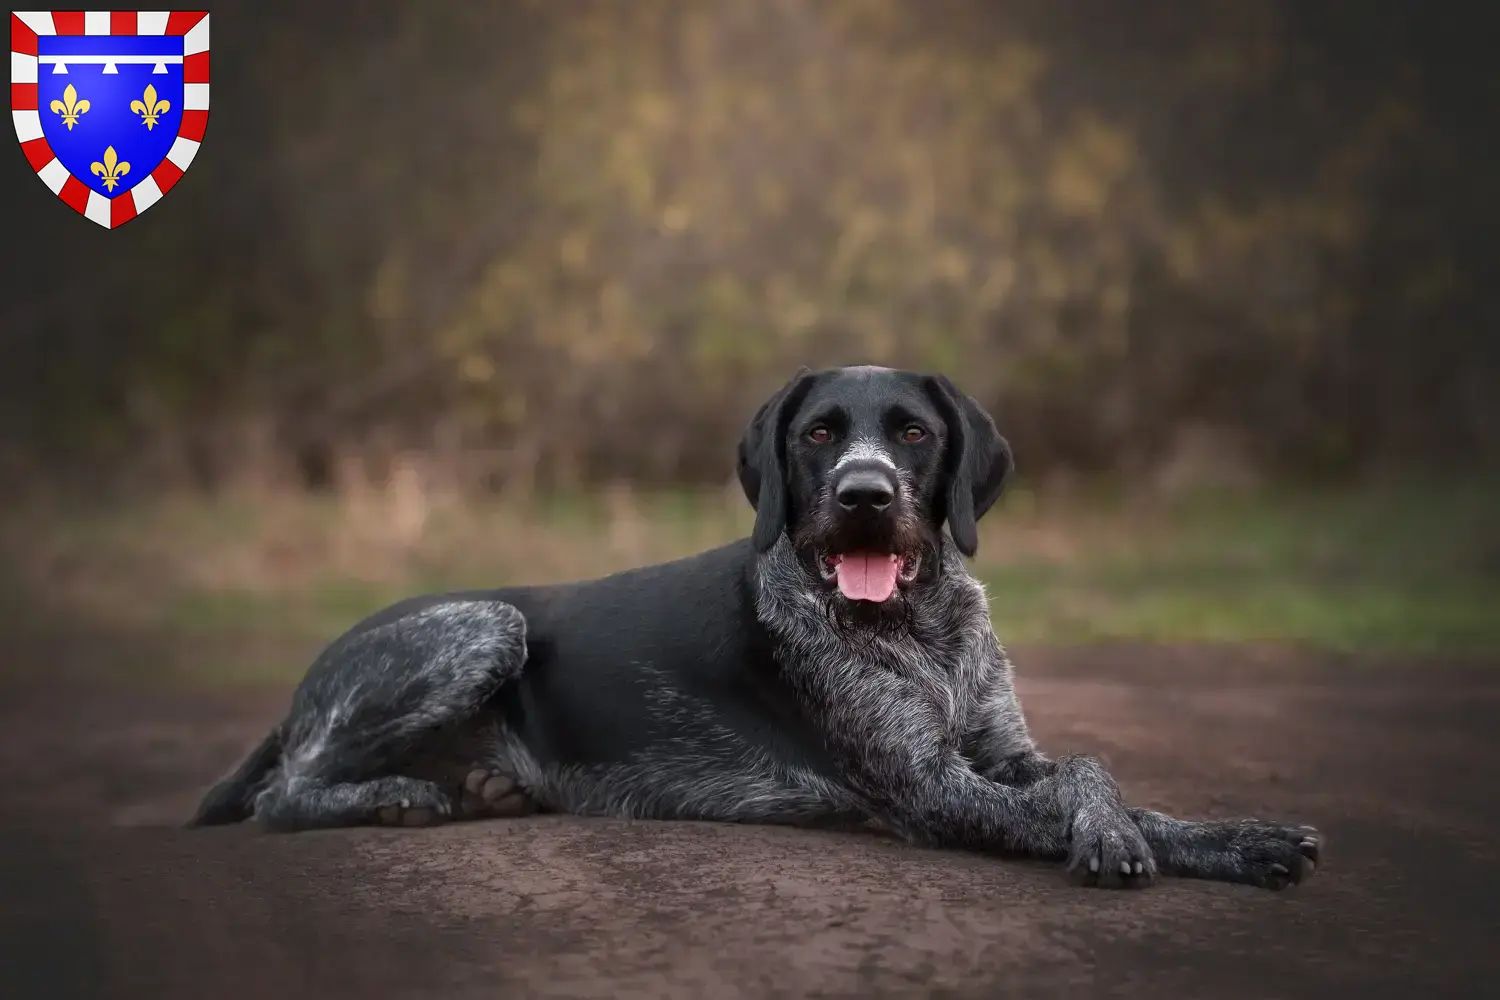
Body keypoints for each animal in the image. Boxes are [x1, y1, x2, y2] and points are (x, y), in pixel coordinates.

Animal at [190, 365, 1326, 893]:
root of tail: (309, 678)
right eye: (819, 433)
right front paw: (1114, 839)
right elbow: (1076, 794)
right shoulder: (928, 789)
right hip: (486, 623)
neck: (917, 627)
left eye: (913, 433)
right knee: (287, 791)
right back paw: (392, 797)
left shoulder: (1001, 750)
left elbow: (1102, 775)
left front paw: (1236, 836)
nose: (865, 496)